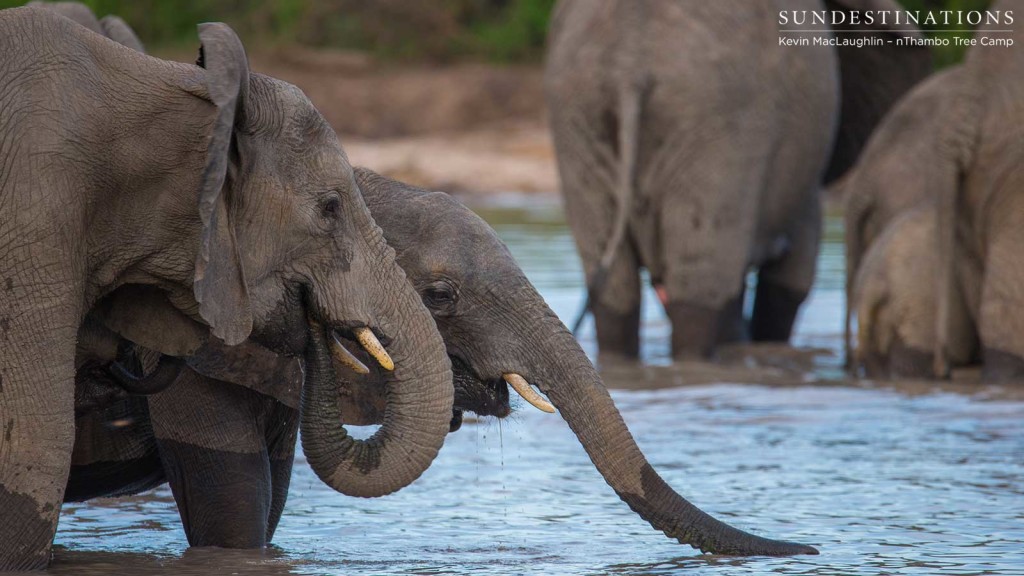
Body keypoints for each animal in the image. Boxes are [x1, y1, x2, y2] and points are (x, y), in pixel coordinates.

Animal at [548, 0, 933, 358]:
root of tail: (629, 63)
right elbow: (790, 281)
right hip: (720, 124)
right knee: (700, 293)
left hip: (581, 117)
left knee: (617, 295)